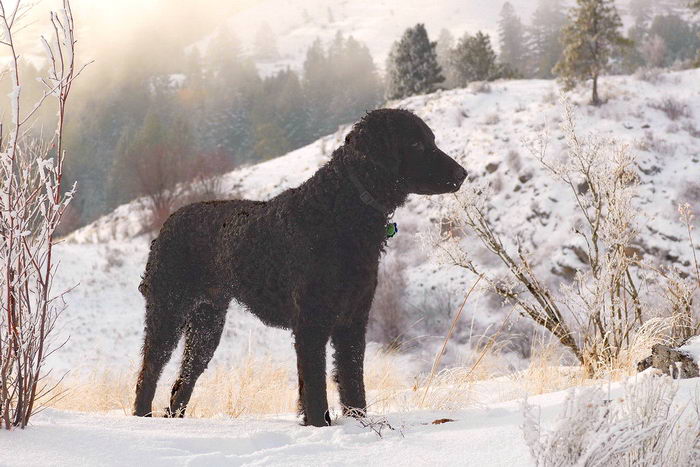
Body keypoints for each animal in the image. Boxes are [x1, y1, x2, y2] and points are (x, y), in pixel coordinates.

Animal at [134, 108, 468, 426]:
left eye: (432, 140)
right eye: (416, 144)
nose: (463, 173)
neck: (339, 209)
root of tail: (167, 223)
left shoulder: (353, 321)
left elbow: (352, 383)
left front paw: (359, 425)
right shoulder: (311, 322)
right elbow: (316, 389)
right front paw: (320, 427)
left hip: (206, 324)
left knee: (182, 382)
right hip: (167, 311)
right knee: (148, 373)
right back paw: (141, 421)